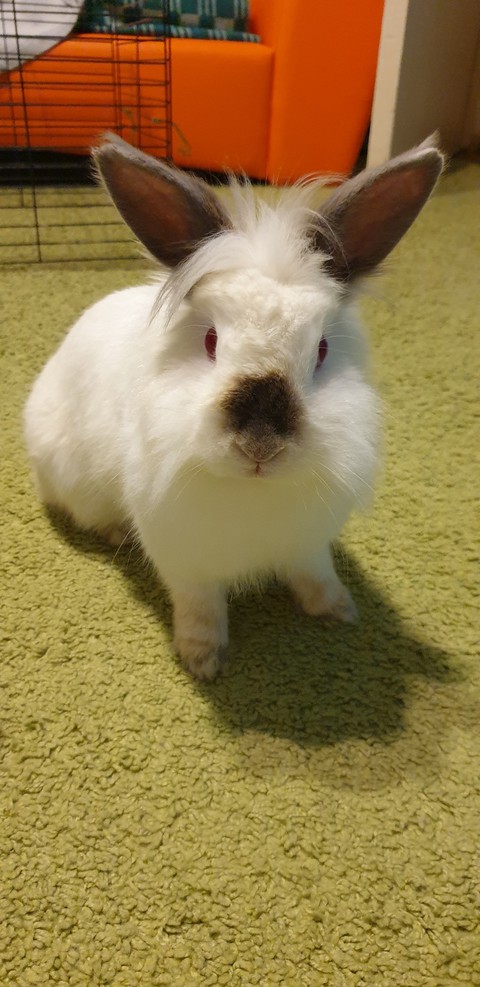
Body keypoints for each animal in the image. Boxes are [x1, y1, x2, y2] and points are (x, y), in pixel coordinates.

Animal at [24, 133, 443, 680]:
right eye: (210, 341)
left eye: (322, 350)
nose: (259, 446)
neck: (253, 492)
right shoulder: (184, 559)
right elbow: (200, 606)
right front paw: (202, 659)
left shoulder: (308, 542)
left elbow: (315, 573)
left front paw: (337, 610)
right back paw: (115, 533)